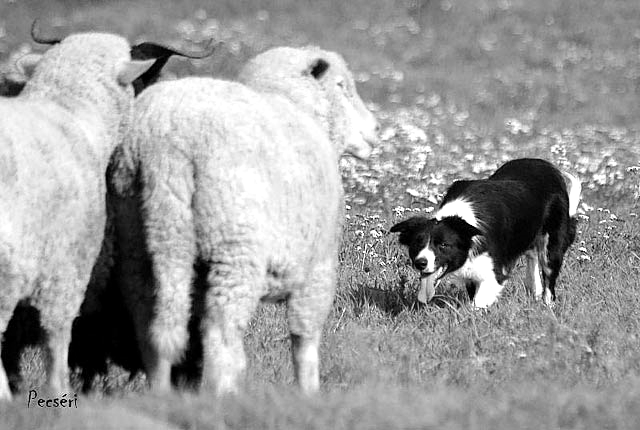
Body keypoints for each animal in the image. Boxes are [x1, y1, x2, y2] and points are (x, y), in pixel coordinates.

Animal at [109, 45, 380, 394]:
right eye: (341, 86)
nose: (374, 129)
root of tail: (167, 148)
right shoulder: (318, 267)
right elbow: (304, 342)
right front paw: (308, 393)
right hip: (235, 248)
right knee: (219, 335)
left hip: (138, 242)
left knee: (152, 329)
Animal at [390, 160, 580, 308]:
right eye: (417, 244)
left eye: (443, 245)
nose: (420, 263)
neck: (462, 221)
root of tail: (550, 167)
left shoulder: (494, 272)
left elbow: (478, 302)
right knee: (532, 256)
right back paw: (534, 290)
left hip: (552, 242)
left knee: (548, 274)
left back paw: (547, 305)